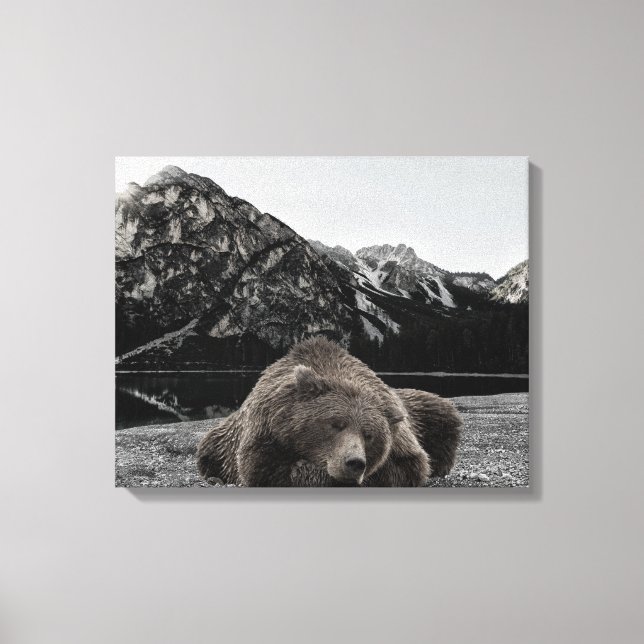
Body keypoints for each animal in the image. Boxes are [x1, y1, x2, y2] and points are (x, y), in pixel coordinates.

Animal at [196, 336, 461, 487]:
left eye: (369, 434)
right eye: (335, 424)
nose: (354, 463)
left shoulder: (402, 440)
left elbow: (409, 466)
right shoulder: (266, 430)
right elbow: (264, 468)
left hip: (431, 414)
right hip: (220, 439)